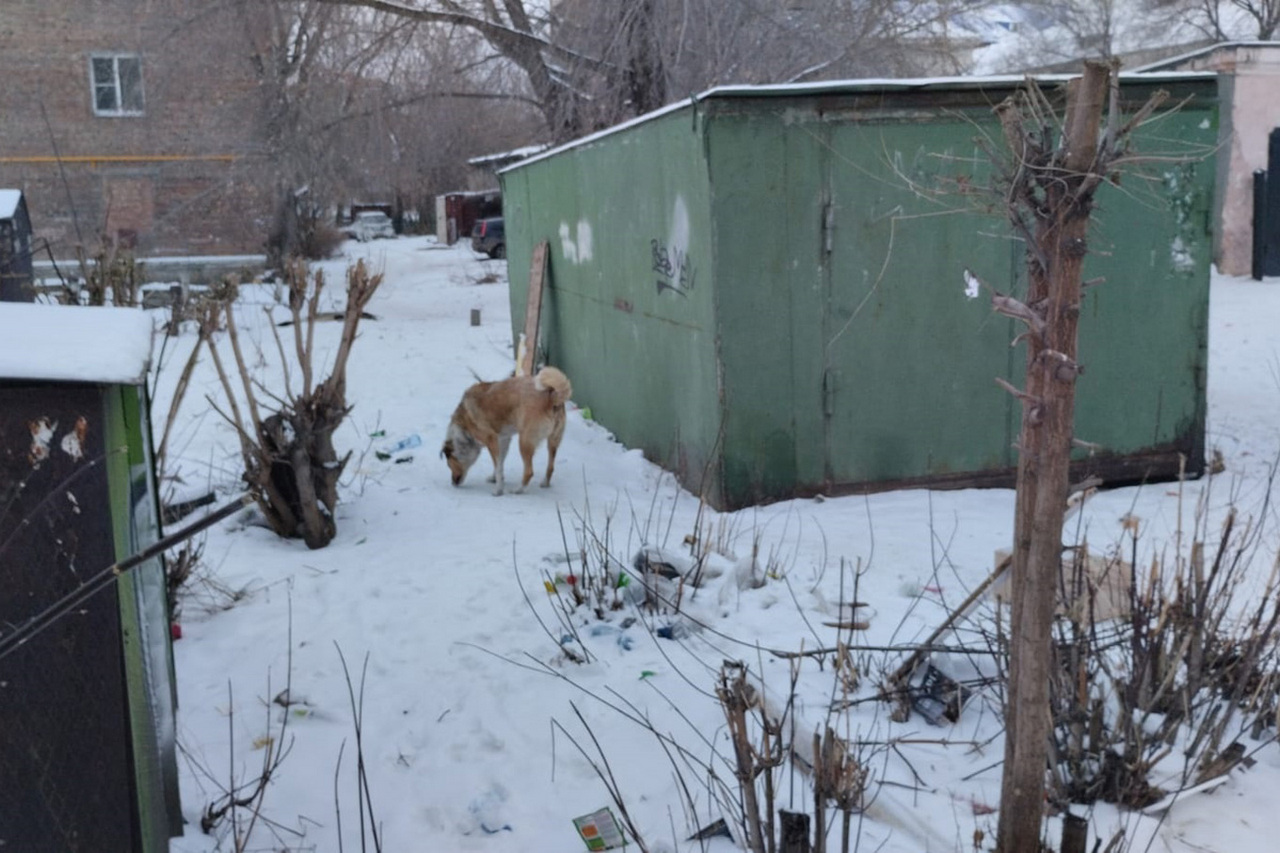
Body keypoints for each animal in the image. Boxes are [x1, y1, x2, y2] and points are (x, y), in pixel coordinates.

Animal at [445, 363, 576, 494]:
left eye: (449, 463)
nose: (452, 483)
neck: (463, 421)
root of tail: (552, 396)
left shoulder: (491, 440)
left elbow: (498, 466)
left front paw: (498, 490)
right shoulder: (503, 439)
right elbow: (500, 464)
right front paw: (495, 479)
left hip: (524, 441)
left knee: (529, 471)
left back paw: (518, 490)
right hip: (553, 441)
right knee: (550, 467)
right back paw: (544, 483)